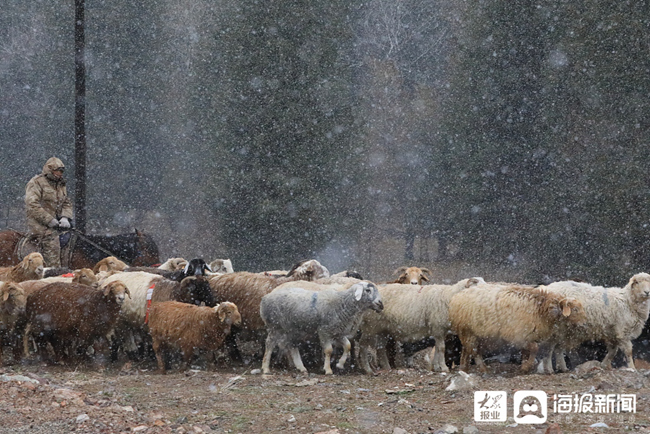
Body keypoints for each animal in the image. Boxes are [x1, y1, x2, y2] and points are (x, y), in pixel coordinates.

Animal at [356, 278, 484, 372]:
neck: (450, 296)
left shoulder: (438, 331)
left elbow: (437, 348)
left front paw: (436, 367)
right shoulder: (438, 327)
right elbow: (442, 348)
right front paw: (443, 367)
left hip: (383, 329)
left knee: (380, 348)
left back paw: (387, 367)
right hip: (370, 327)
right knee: (363, 345)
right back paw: (368, 369)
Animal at [448, 282, 584, 372]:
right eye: (575, 310)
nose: (583, 325)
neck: (540, 307)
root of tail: (457, 296)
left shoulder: (528, 334)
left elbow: (526, 352)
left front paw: (524, 366)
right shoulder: (519, 336)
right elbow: (534, 348)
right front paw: (526, 367)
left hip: (473, 333)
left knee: (466, 350)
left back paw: (464, 368)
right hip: (468, 331)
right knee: (474, 351)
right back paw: (482, 368)